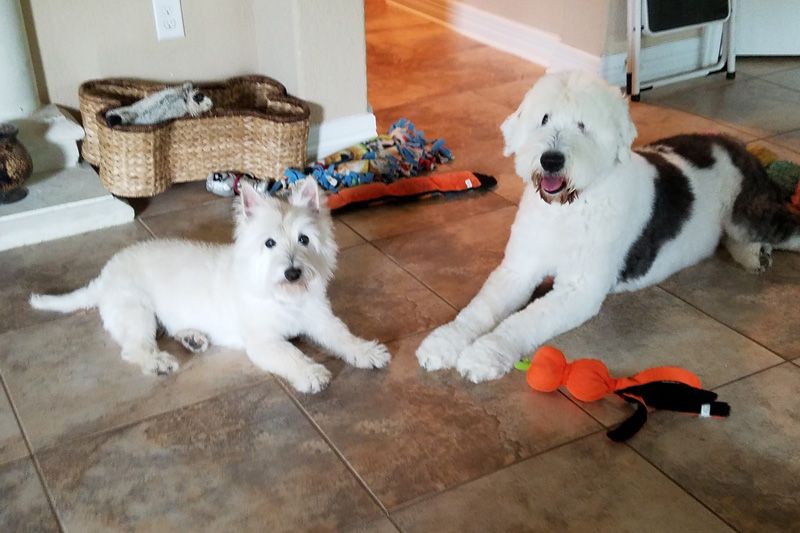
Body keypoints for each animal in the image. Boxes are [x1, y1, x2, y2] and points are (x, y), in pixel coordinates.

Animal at [31, 181, 390, 392]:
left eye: (304, 239)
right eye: (269, 243)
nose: (292, 273)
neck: (282, 296)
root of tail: (103, 275)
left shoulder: (319, 317)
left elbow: (341, 334)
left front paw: (367, 351)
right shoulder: (264, 341)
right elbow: (291, 353)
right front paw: (312, 373)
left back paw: (193, 337)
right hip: (136, 312)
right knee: (134, 347)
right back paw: (159, 362)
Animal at [418, 69, 800, 382]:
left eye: (583, 125)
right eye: (544, 118)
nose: (551, 160)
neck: (567, 210)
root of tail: (733, 144)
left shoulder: (579, 290)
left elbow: (523, 320)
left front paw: (484, 355)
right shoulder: (518, 268)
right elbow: (480, 309)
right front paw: (444, 342)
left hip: (748, 212)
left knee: (782, 230)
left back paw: (758, 253)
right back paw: (754, 257)